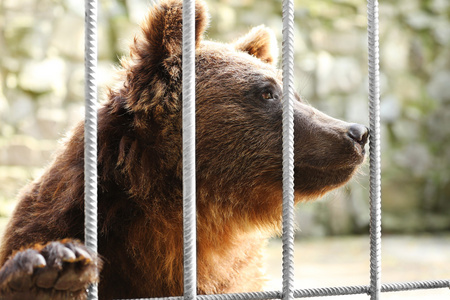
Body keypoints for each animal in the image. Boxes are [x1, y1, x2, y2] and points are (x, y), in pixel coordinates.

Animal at [0, 0, 368, 300]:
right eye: (266, 92)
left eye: (296, 95)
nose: (357, 133)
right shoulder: (59, 220)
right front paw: (50, 271)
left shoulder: (235, 275)